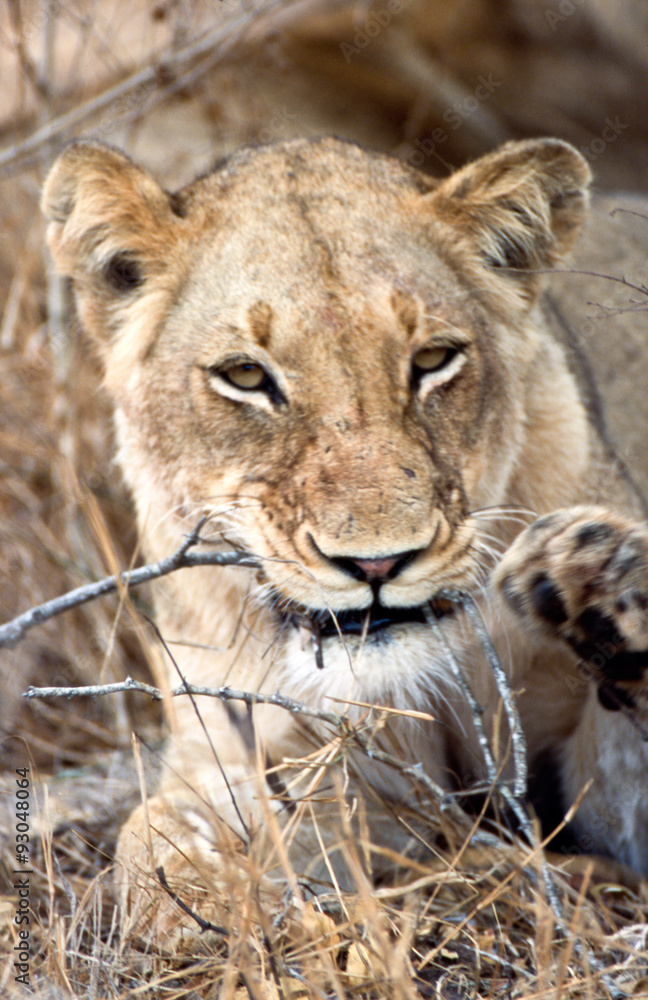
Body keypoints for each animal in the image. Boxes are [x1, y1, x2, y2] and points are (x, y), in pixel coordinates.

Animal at [41, 135, 648, 940]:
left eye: (433, 360)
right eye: (245, 375)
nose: (379, 562)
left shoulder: (578, 799)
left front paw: (597, 577)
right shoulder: (254, 760)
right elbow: (148, 836)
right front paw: (217, 911)